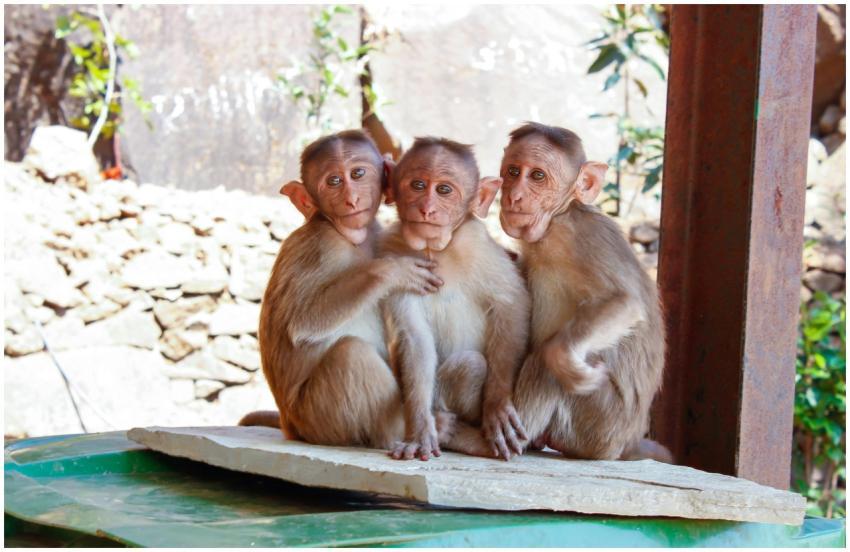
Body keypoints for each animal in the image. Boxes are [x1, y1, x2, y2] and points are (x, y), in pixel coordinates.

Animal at [244, 129, 448, 450]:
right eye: (333, 181)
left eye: (358, 174)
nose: (351, 200)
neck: (350, 236)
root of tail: (289, 425)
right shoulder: (323, 245)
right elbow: (301, 323)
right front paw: (392, 271)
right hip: (318, 416)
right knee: (351, 353)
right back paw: (403, 432)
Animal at [379, 137, 531, 461]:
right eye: (418, 185)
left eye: (444, 190)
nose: (426, 209)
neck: (434, 250)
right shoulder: (392, 253)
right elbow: (415, 338)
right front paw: (420, 430)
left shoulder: (476, 244)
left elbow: (512, 304)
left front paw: (497, 404)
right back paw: (442, 425)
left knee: (470, 365)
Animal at [499, 122, 671, 463]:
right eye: (512, 171)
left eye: (537, 176)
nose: (514, 195)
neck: (559, 216)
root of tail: (625, 443)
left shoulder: (578, 237)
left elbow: (625, 304)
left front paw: (564, 360)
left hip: (598, 426)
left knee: (545, 360)